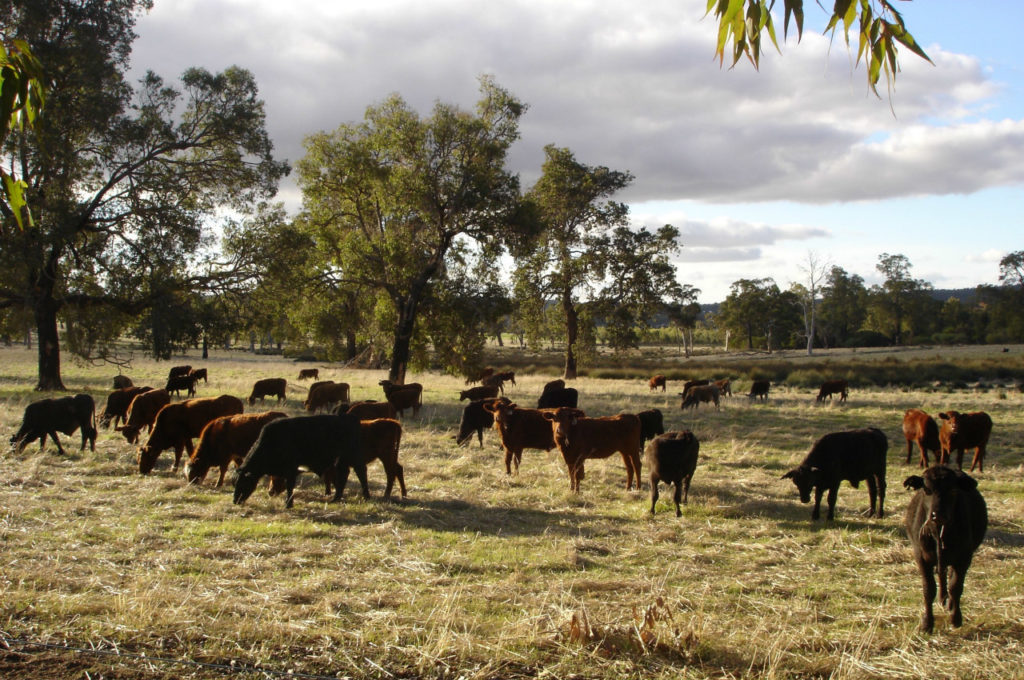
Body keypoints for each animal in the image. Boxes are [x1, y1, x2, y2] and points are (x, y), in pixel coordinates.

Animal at [234, 413, 367, 509]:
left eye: (244, 482)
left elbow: (290, 486)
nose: (235, 500)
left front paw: (288, 504)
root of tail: (350, 418)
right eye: (236, 483)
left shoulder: (291, 470)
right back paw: (336, 498)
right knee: (343, 475)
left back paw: (366, 496)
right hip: (341, 460)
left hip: (354, 456)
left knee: (361, 473)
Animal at [904, 466, 988, 632]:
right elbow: (929, 589)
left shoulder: (964, 558)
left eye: (953, 490)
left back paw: (948, 603)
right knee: (942, 576)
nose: (938, 515)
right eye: (926, 489)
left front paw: (956, 619)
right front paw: (927, 623)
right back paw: (942, 598)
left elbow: (955, 587)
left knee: (948, 577)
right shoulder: (921, 557)